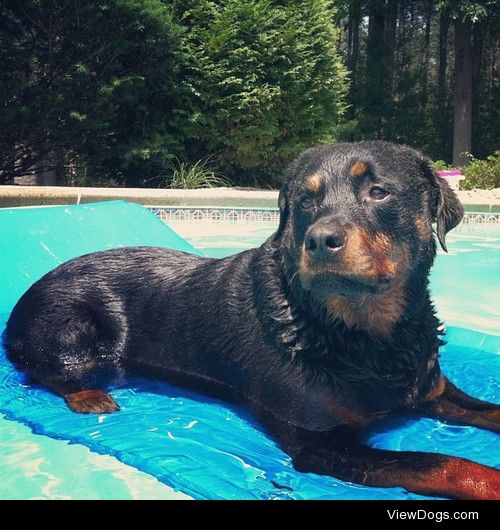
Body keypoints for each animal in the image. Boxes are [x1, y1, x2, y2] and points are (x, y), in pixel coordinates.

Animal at [4, 139, 500, 496]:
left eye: (378, 192)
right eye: (306, 200)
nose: (320, 239)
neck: (364, 334)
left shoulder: (431, 387)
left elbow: (485, 411)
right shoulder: (322, 443)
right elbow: (439, 463)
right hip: (71, 329)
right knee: (40, 369)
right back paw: (88, 395)